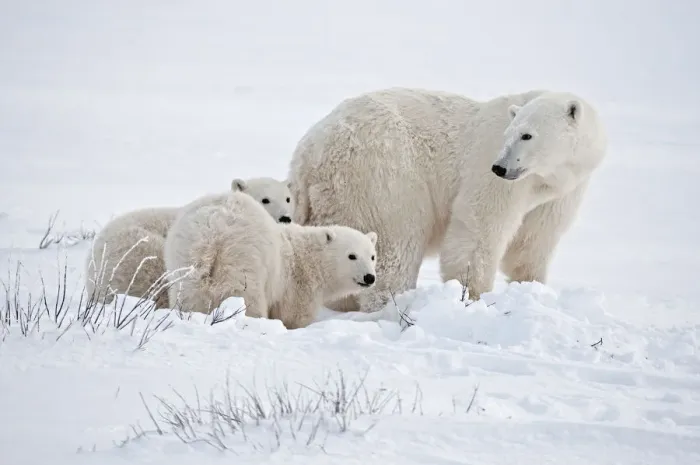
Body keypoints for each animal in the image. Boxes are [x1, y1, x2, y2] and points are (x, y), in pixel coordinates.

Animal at [163, 190, 378, 329]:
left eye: (372, 256)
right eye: (352, 255)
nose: (369, 277)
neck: (306, 256)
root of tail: (213, 229)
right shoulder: (296, 286)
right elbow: (293, 316)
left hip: (184, 255)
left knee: (188, 294)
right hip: (243, 257)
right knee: (247, 297)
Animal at [287, 87, 607, 311]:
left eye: (527, 135)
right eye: (509, 134)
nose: (499, 167)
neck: (548, 177)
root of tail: (309, 152)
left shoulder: (560, 192)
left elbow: (533, 241)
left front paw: (532, 286)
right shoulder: (491, 173)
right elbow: (479, 227)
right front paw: (472, 296)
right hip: (384, 176)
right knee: (395, 244)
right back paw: (391, 304)